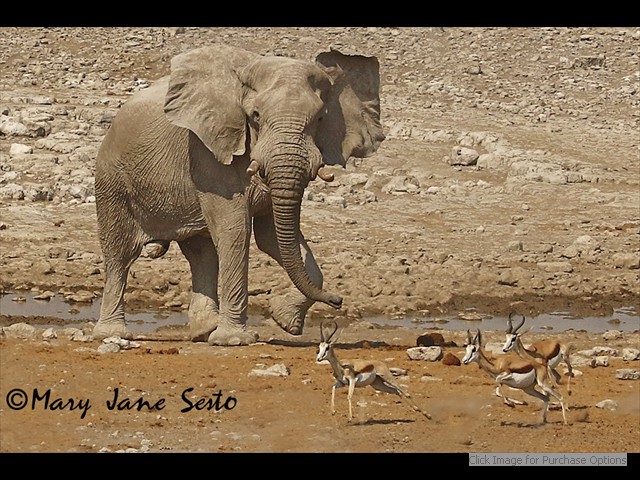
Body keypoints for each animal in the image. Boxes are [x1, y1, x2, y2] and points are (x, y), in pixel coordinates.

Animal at [92, 44, 385, 346]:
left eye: (320, 118)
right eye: (255, 116)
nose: (338, 300)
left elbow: (272, 237)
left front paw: (284, 320)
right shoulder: (207, 154)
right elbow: (236, 231)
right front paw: (236, 339)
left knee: (201, 253)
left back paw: (204, 330)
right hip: (113, 180)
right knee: (120, 253)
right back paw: (112, 333)